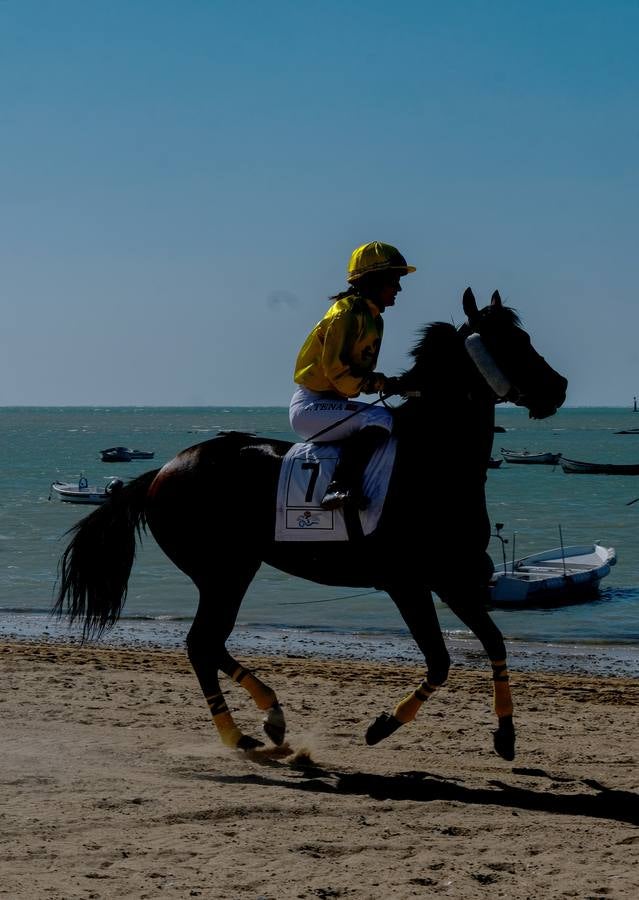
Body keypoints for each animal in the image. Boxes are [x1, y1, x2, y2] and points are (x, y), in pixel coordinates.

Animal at [53, 288, 564, 760]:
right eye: (513, 341)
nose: (558, 388)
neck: (432, 459)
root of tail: (161, 471)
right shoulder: (409, 583)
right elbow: (439, 661)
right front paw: (382, 725)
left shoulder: (453, 578)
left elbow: (494, 642)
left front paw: (506, 734)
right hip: (223, 572)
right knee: (201, 644)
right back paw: (240, 736)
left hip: (231, 572)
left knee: (211, 644)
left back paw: (272, 716)